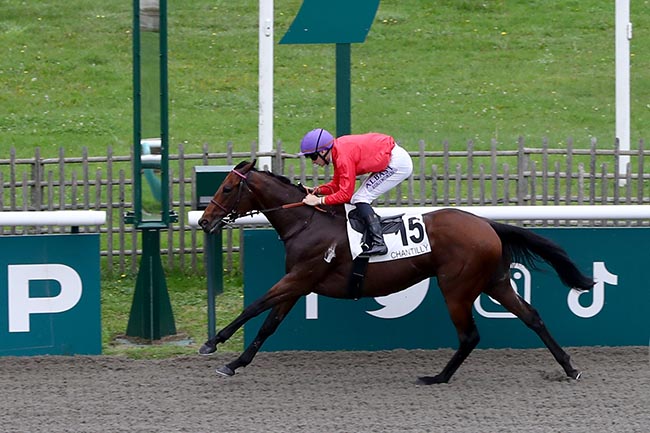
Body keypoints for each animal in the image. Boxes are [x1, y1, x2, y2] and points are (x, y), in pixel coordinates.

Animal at [196, 159, 592, 382]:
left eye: (227, 187)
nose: (203, 221)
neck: (306, 222)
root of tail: (487, 224)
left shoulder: (299, 277)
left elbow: (254, 307)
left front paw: (212, 343)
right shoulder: (298, 284)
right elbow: (268, 324)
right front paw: (236, 363)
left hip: (457, 288)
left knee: (470, 336)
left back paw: (437, 378)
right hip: (495, 282)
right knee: (531, 317)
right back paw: (569, 368)